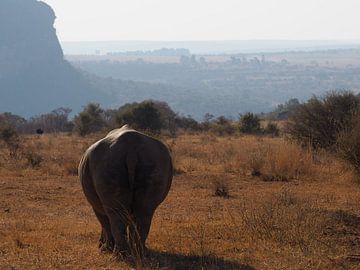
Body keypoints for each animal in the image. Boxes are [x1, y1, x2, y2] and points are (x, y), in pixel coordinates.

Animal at [78, 124, 173, 255]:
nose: (99, 244)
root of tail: (131, 149)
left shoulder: (96, 206)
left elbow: (104, 222)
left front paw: (104, 248)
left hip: (108, 163)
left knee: (116, 215)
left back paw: (119, 255)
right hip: (154, 159)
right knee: (145, 211)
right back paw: (140, 252)